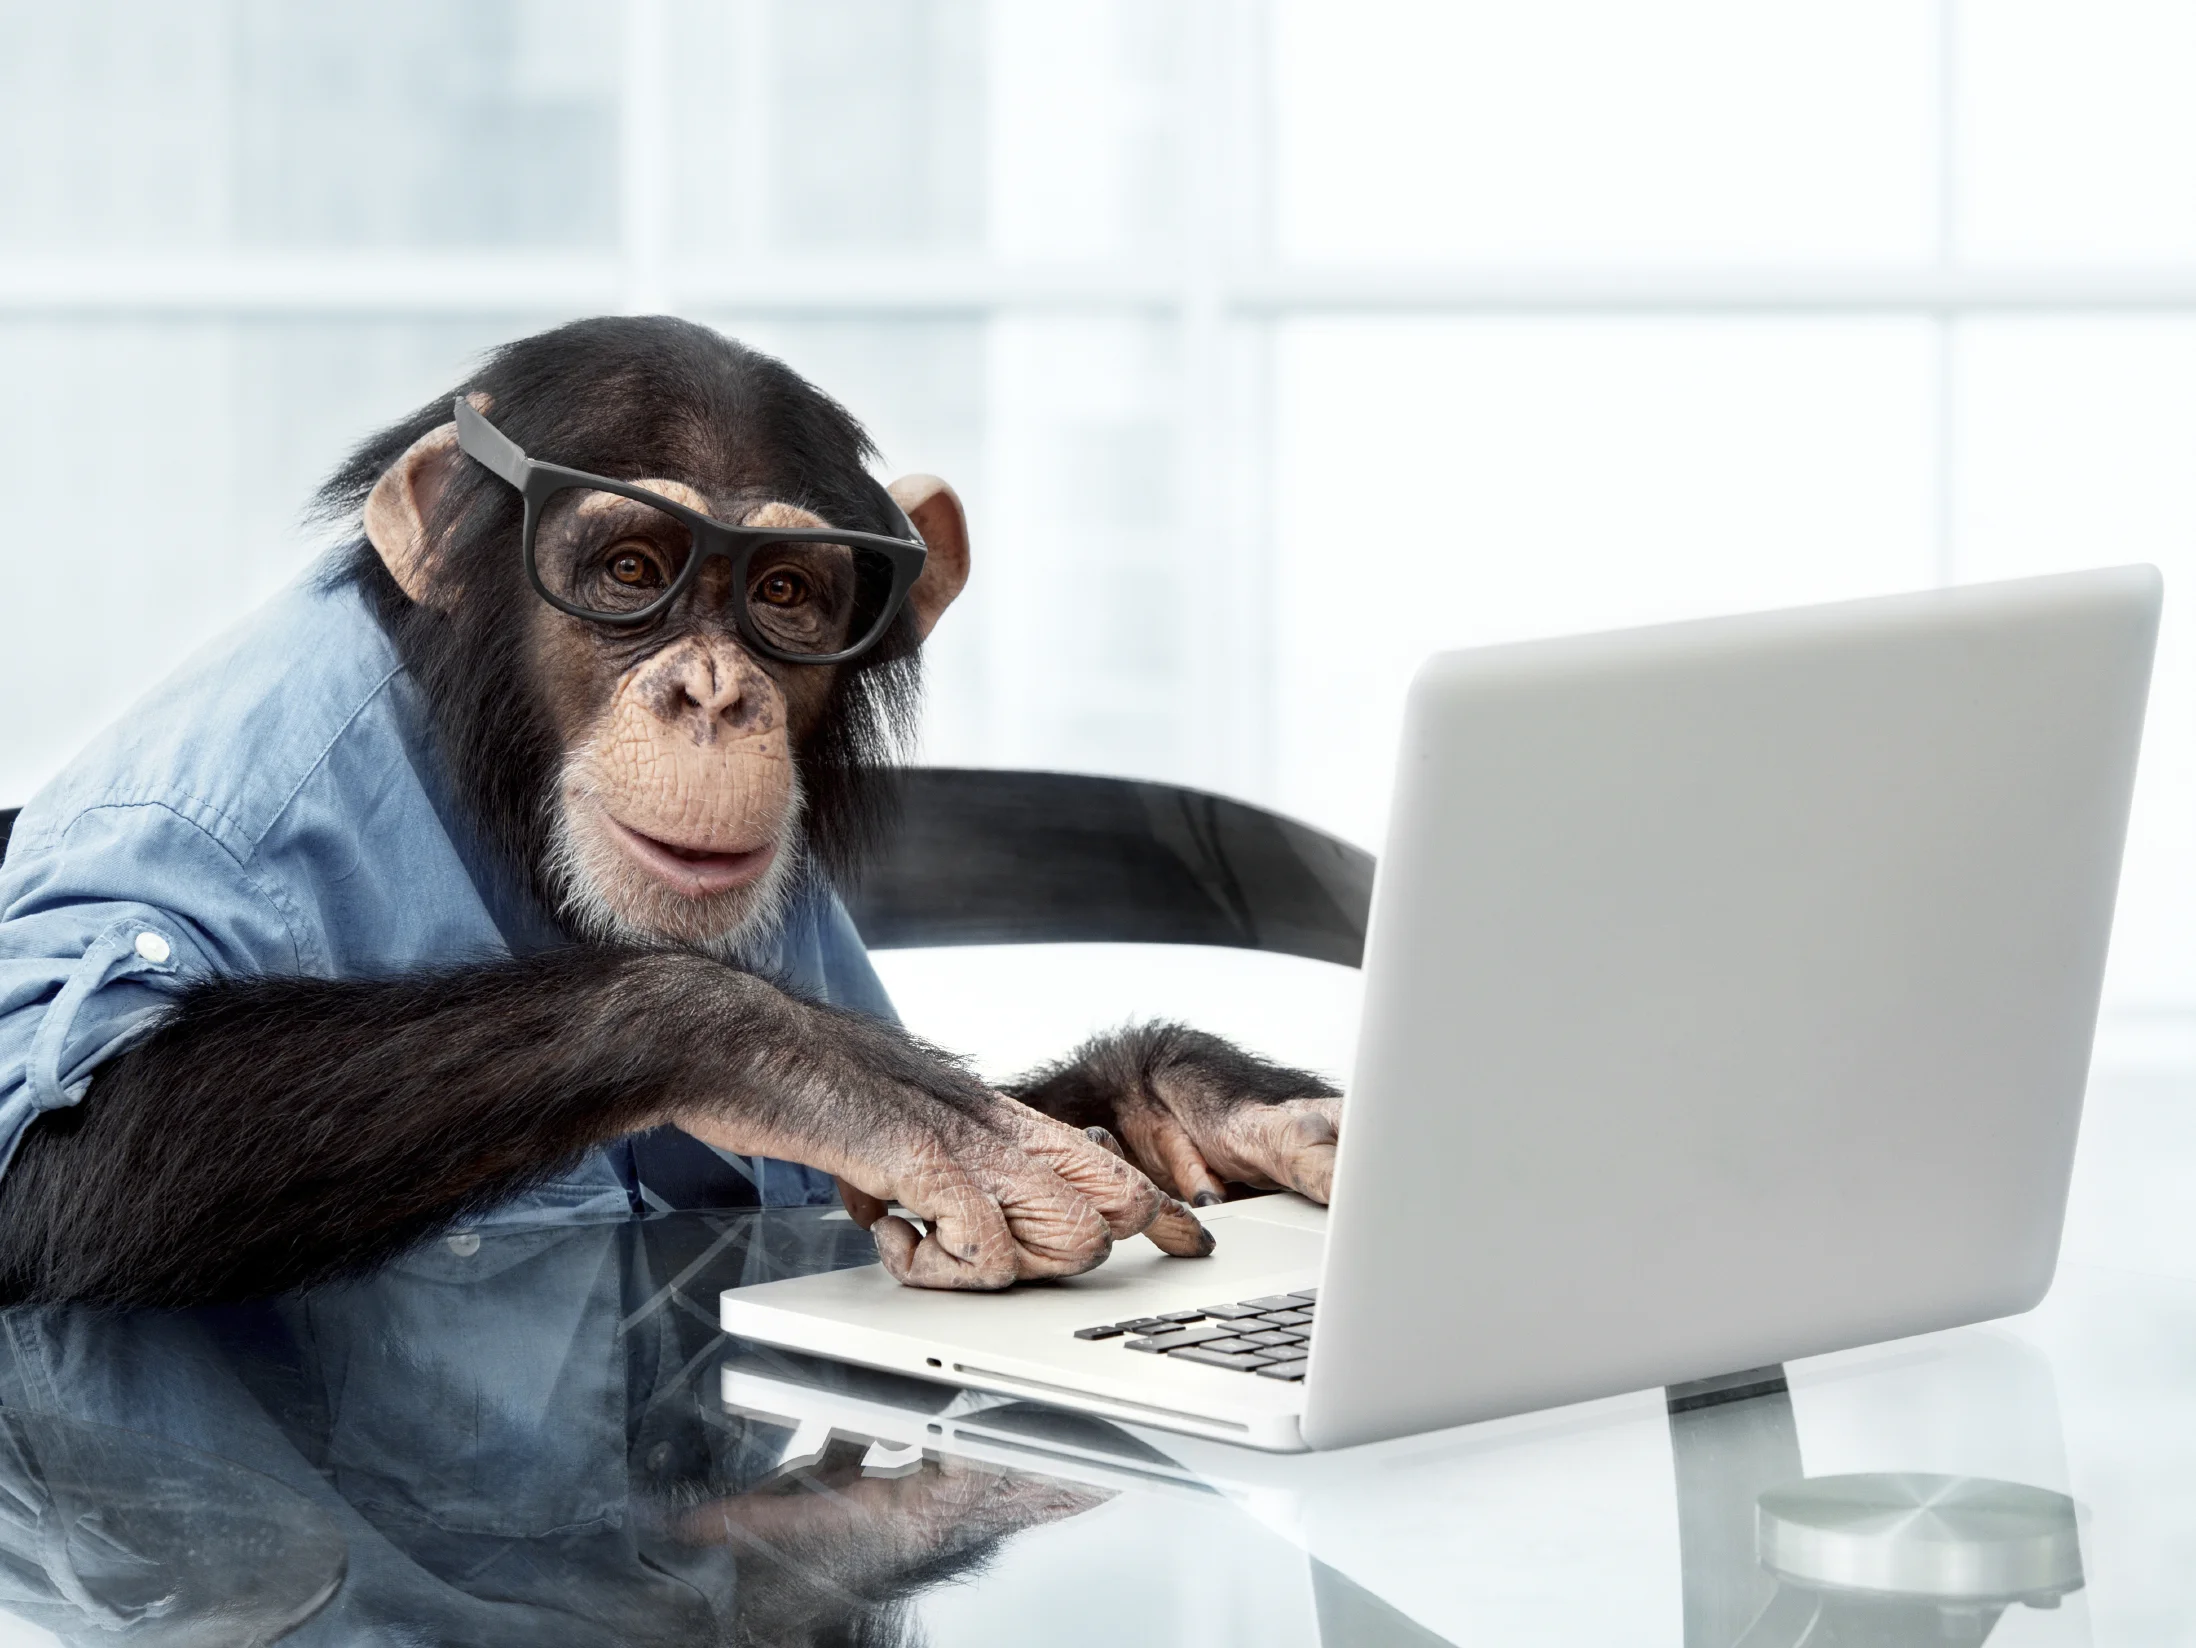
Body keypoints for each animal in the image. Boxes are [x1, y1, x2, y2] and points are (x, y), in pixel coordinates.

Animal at [0, 317, 1342, 1309]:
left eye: (787, 595)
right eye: (631, 572)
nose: (712, 691)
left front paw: (1194, 1099)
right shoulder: (221, 799)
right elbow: (58, 1139)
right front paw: (832, 1073)